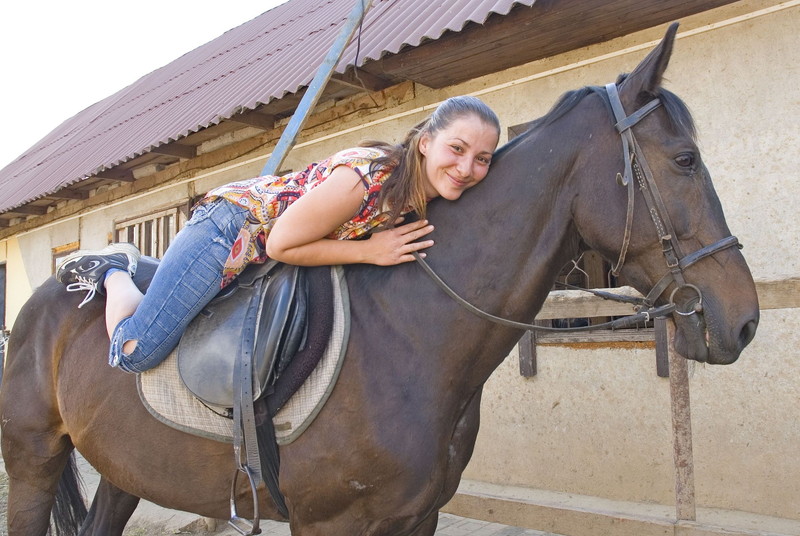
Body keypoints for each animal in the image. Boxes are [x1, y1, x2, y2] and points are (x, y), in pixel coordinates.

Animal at [1, 24, 764, 536]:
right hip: (35, 459)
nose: (743, 320)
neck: (408, 335)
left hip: (120, 470)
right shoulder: (330, 524)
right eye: (686, 159)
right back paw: (102, 269)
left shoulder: (417, 516)